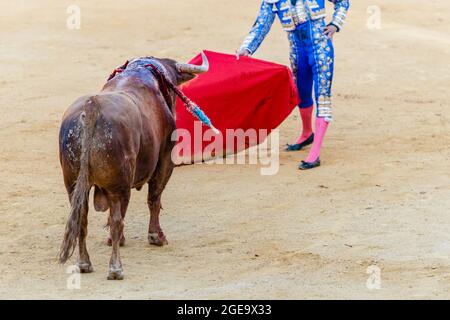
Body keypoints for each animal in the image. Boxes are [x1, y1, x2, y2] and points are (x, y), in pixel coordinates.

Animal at [57, 53, 209, 278]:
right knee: (117, 220)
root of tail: (92, 107)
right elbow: (154, 198)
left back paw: (85, 264)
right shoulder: (165, 160)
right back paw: (115, 268)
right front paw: (156, 237)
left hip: (73, 183)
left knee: (82, 219)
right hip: (119, 184)